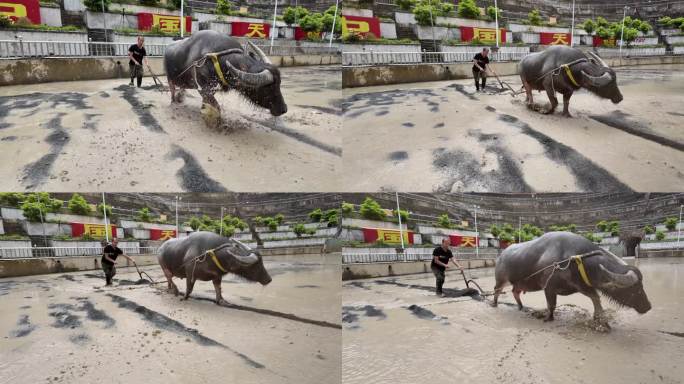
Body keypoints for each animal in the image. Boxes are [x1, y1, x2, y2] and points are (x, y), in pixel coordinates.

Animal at [494, 231, 648, 324]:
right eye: (634, 289)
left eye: (641, 286)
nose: (648, 306)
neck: (573, 259)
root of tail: (501, 255)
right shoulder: (549, 288)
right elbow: (551, 305)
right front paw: (548, 318)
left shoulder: (580, 284)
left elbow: (595, 297)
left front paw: (600, 318)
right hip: (500, 280)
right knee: (496, 290)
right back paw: (494, 304)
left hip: (518, 283)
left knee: (515, 292)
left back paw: (521, 307)